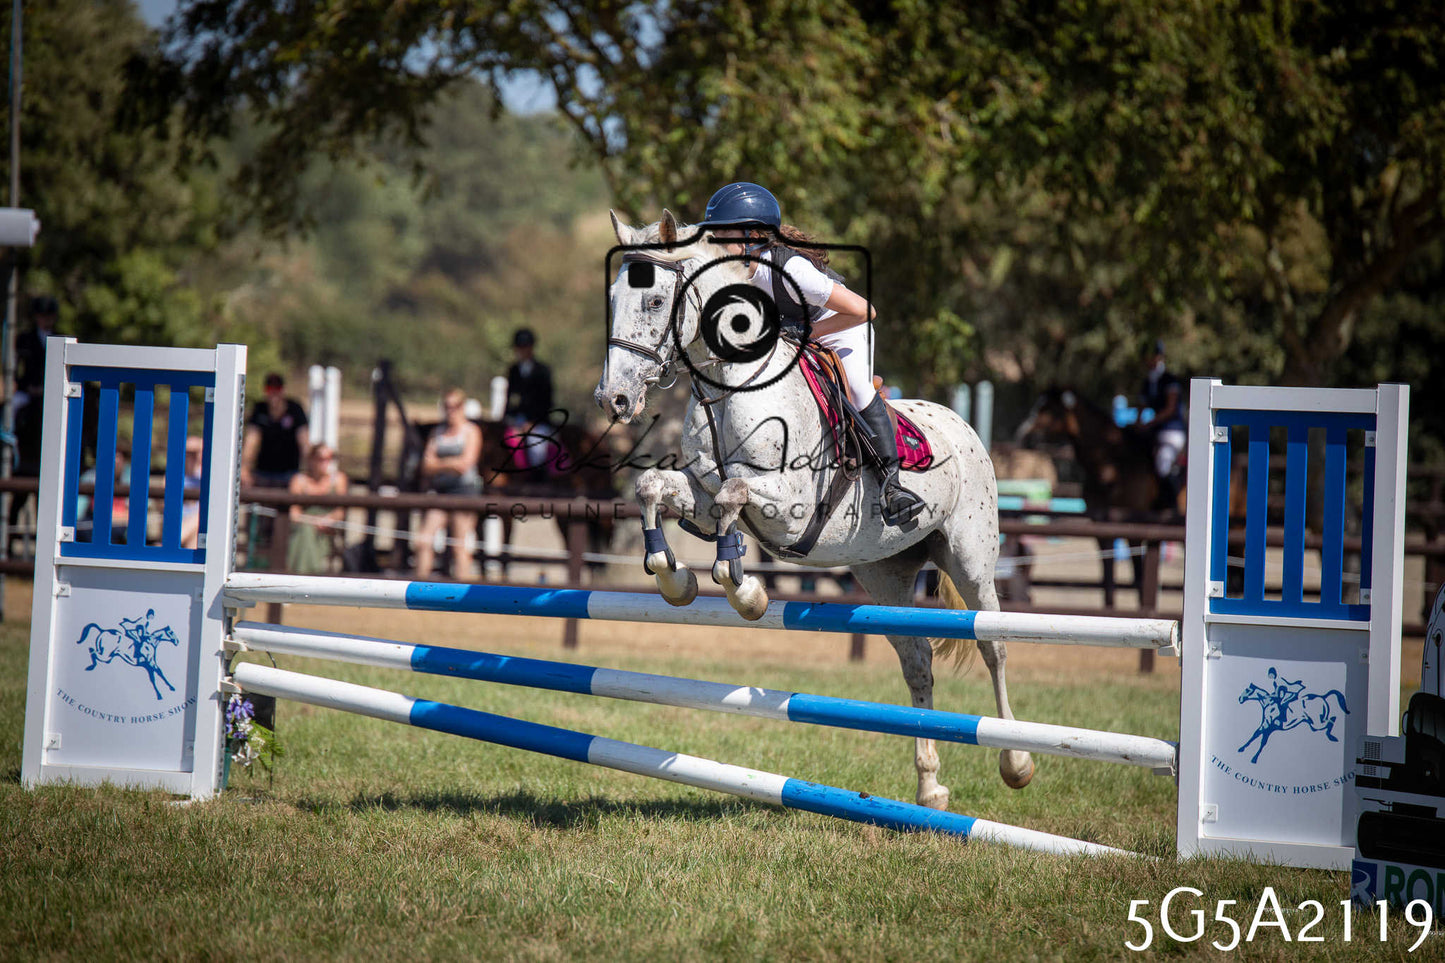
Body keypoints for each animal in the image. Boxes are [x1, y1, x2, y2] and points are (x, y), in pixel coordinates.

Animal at [594, 211, 1027, 809]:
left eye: (656, 300)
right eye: (614, 296)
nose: (612, 400)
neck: (730, 386)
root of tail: (960, 426)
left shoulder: (788, 505)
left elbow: (733, 499)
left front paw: (746, 592)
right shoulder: (699, 493)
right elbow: (654, 487)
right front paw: (674, 579)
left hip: (971, 560)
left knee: (994, 645)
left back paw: (1016, 762)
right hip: (884, 574)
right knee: (917, 660)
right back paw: (930, 786)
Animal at [1015, 388, 1183, 607]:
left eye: (1050, 410)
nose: (1023, 435)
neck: (1110, 465)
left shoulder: (1133, 527)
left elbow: (1138, 578)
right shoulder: (1102, 526)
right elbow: (1107, 576)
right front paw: (1110, 607)